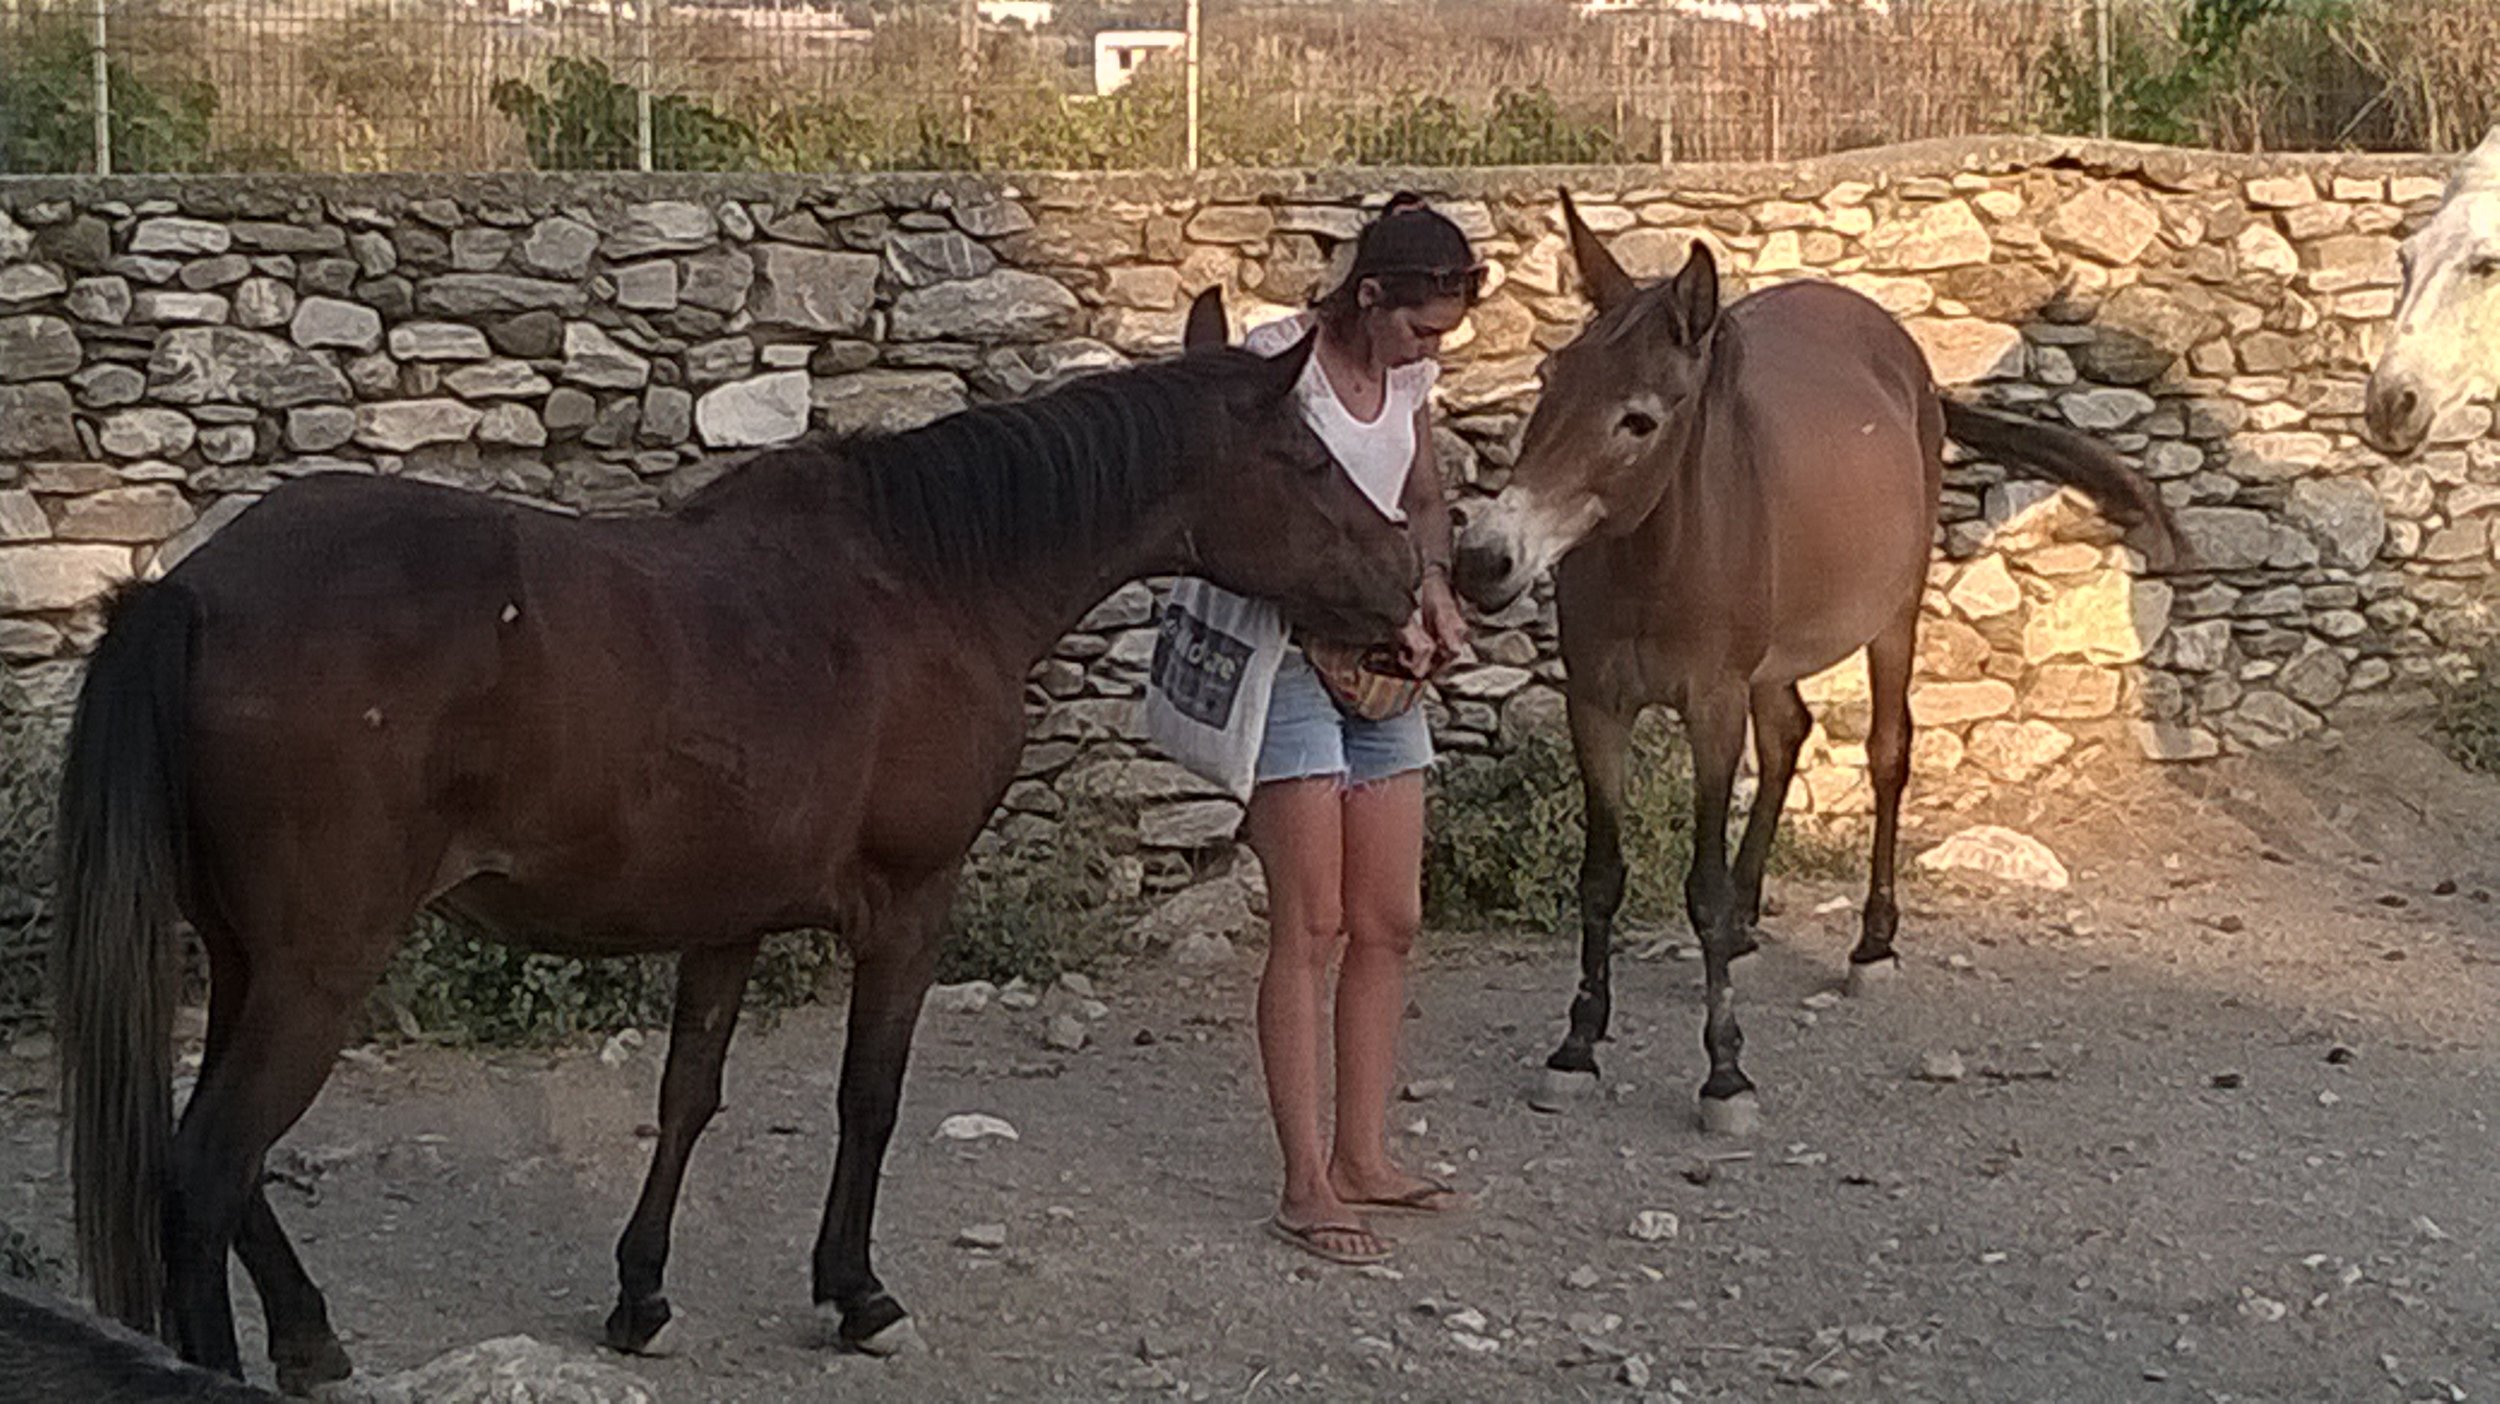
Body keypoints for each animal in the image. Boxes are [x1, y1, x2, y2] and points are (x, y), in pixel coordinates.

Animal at [58, 284, 1420, 1379]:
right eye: (1308, 460)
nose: (1409, 573)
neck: (928, 581)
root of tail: (188, 592)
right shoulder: (911, 905)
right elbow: (868, 1096)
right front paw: (857, 1293)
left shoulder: (726, 917)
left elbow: (688, 1097)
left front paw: (642, 1295)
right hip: (317, 971)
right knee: (205, 1172)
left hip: (252, 964)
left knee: (211, 1168)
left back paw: (309, 1334)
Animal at [1460, 197, 2180, 1129]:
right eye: (1550, 382)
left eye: (1639, 419)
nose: (1483, 560)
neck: (1656, 557)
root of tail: (1895, 345)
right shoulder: (1599, 706)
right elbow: (1601, 876)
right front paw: (1578, 1044)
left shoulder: (1713, 707)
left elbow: (1699, 885)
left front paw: (1725, 1069)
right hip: (1774, 663)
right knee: (1789, 735)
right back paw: (1751, 926)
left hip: (1891, 620)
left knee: (1886, 754)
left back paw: (1872, 943)